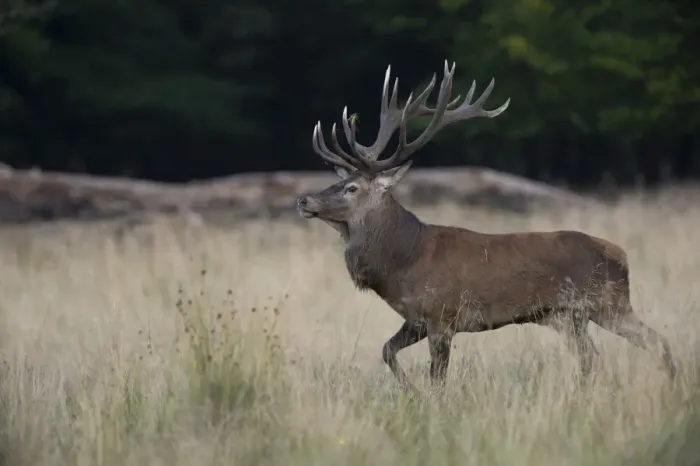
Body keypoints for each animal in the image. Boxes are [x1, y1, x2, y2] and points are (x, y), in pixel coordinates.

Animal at [296, 60, 677, 390]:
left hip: (608, 302)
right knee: (592, 359)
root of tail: (621, 255)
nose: (304, 200)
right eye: (338, 181)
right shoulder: (416, 319)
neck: (402, 262)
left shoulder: (442, 316)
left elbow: (437, 380)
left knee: (657, 343)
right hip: (567, 316)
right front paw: (408, 392)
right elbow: (387, 350)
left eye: (351, 187)